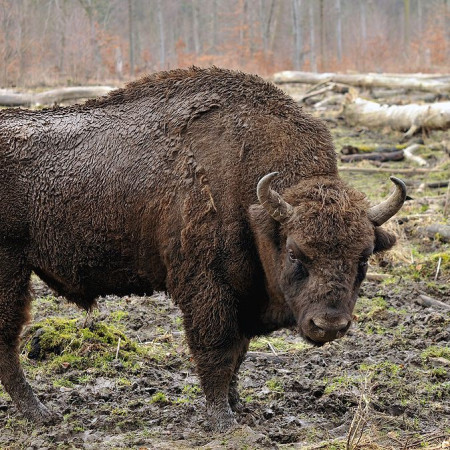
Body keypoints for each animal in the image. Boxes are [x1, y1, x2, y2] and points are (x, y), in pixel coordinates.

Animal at [0, 66, 406, 428]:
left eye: (364, 258)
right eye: (295, 252)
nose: (329, 324)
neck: (253, 198)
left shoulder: (243, 294)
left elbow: (238, 353)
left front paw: (238, 406)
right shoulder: (209, 288)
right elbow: (218, 350)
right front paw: (222, 419)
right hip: (11, 272)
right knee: (7, 340)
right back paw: (41, 414)